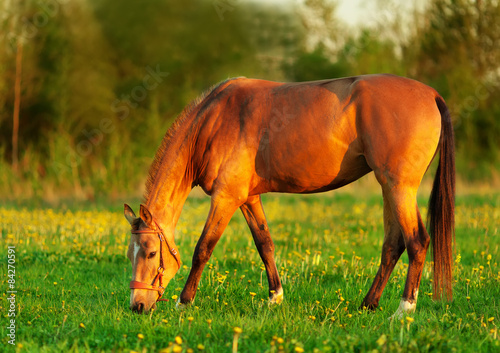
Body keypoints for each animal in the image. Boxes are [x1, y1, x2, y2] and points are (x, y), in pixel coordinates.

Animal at [123, 73, 456, 314]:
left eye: (151, 252)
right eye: (130, 253)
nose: (137, 305)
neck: (214, 121)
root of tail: (431, 94)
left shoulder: (226, 198)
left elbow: (203, 248)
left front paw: (184, 302)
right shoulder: (248, 198)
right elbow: (264, 243)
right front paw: (275, 297)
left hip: (398, 188)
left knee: (417, 241)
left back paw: (403, 310)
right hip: (390, 189)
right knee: (392, 245)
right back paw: (368, 304)